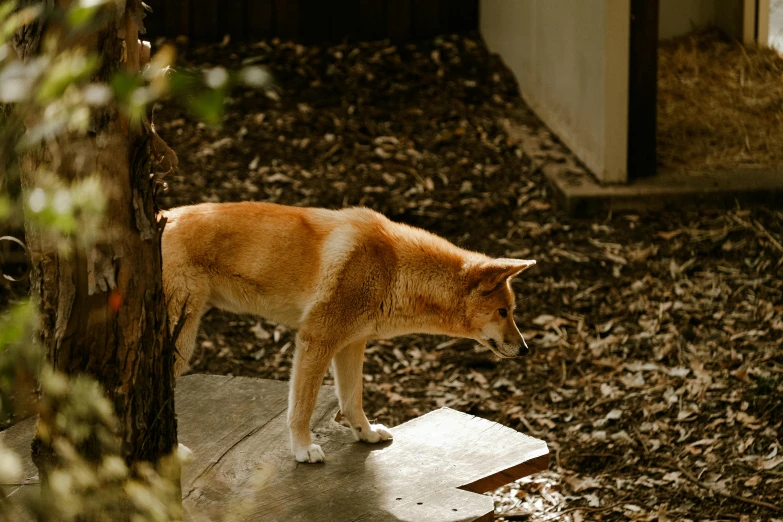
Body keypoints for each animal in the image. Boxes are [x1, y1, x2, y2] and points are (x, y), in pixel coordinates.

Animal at [162, 201, 536, 462]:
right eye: (503, 312)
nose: (525, 349)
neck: (394, 268)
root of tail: (163, 216)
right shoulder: (316, 339)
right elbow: (302, 407)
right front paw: (302, 449)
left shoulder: (351, 345)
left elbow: (352, 399)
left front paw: (365, 434)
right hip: (179, 342)